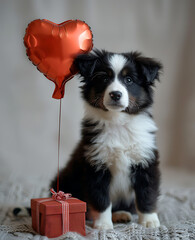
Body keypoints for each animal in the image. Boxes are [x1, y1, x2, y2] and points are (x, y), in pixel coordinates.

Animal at [50, 49, 161, 230]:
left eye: (129, 80)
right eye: (104, 79)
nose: (115, 94)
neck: (118, 123)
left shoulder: (145, 160)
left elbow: (146, 194)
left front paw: (149, 221)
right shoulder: (96, 165)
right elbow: (101, 198)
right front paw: (103, 225)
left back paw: (121, 214)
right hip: (65, 178)